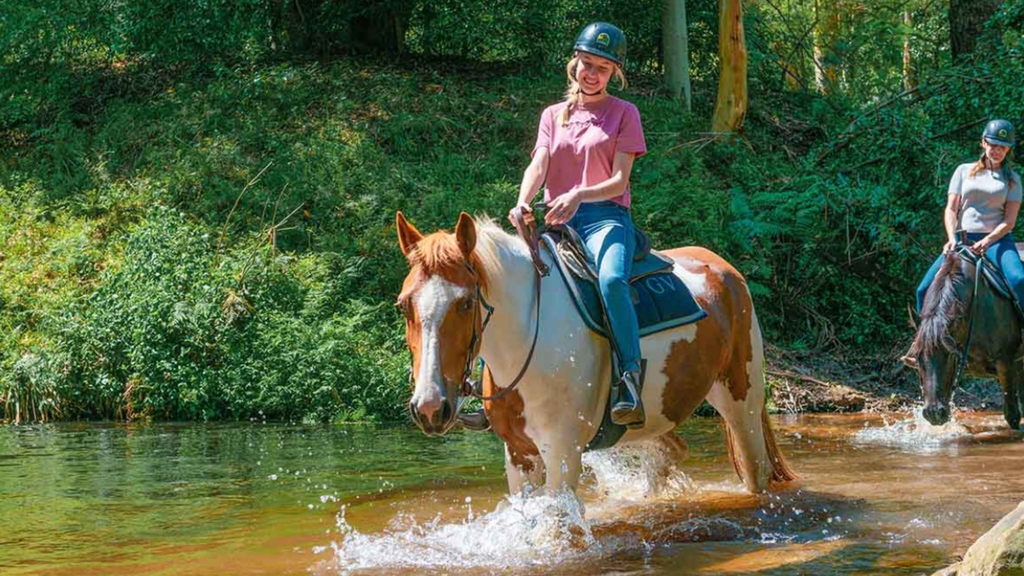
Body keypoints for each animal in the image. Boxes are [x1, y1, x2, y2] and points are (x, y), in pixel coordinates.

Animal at [395, 211, 796, 496]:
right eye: (403, 304)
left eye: (465, 303)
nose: (430, 408)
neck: (527, 337)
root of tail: (725, 269)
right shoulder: (520, 455)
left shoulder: (562, 451)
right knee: (669, 452)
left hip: (741, 400)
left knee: (755, 471)